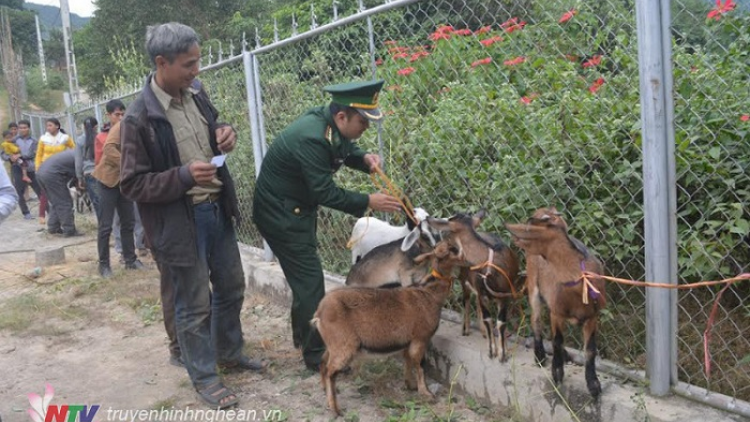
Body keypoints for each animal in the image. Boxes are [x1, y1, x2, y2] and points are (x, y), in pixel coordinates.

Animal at [310, 237, 464, 416]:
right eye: (451, 249)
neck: (429, 294)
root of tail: (319, 314)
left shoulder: (408, 341)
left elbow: (408, 361)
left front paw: (410, 385)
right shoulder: (420, 338)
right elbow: (420, 365)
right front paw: (426, 393)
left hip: (334, 344)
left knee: (323, 362)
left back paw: (325, 391)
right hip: (344, 345)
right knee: (331, 372)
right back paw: (335, 409)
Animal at [426, 213, 520, 362]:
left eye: (446, 233)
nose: (436, 247)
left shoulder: (505, 295)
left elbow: (501, 322)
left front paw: (503, 354)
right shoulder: (482, 292)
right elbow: (488, 319)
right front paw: (491, 352)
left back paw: (483, 333)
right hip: (464, 279)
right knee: (467, 300)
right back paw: (466, 330)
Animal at [506, 208, 604, 398]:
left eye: (530, 226)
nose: (514, 235)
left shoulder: (592, 316)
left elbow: (590, 349)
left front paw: (593, 384)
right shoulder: (556, 312)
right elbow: (557, 340)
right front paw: (557, 373)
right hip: (534, 288)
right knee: (536, 321)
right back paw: (540, 356)